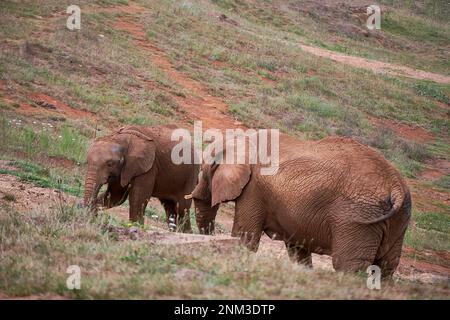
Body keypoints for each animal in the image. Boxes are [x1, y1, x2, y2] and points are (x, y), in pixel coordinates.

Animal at [186, 134, 412, 276]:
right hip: (398, 220)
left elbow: (245, 237)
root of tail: (396, 187)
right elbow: (298, 249)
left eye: (204, 171)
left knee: (348, 265)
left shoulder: (254, 189)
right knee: (387, 267)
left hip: (356, 218)